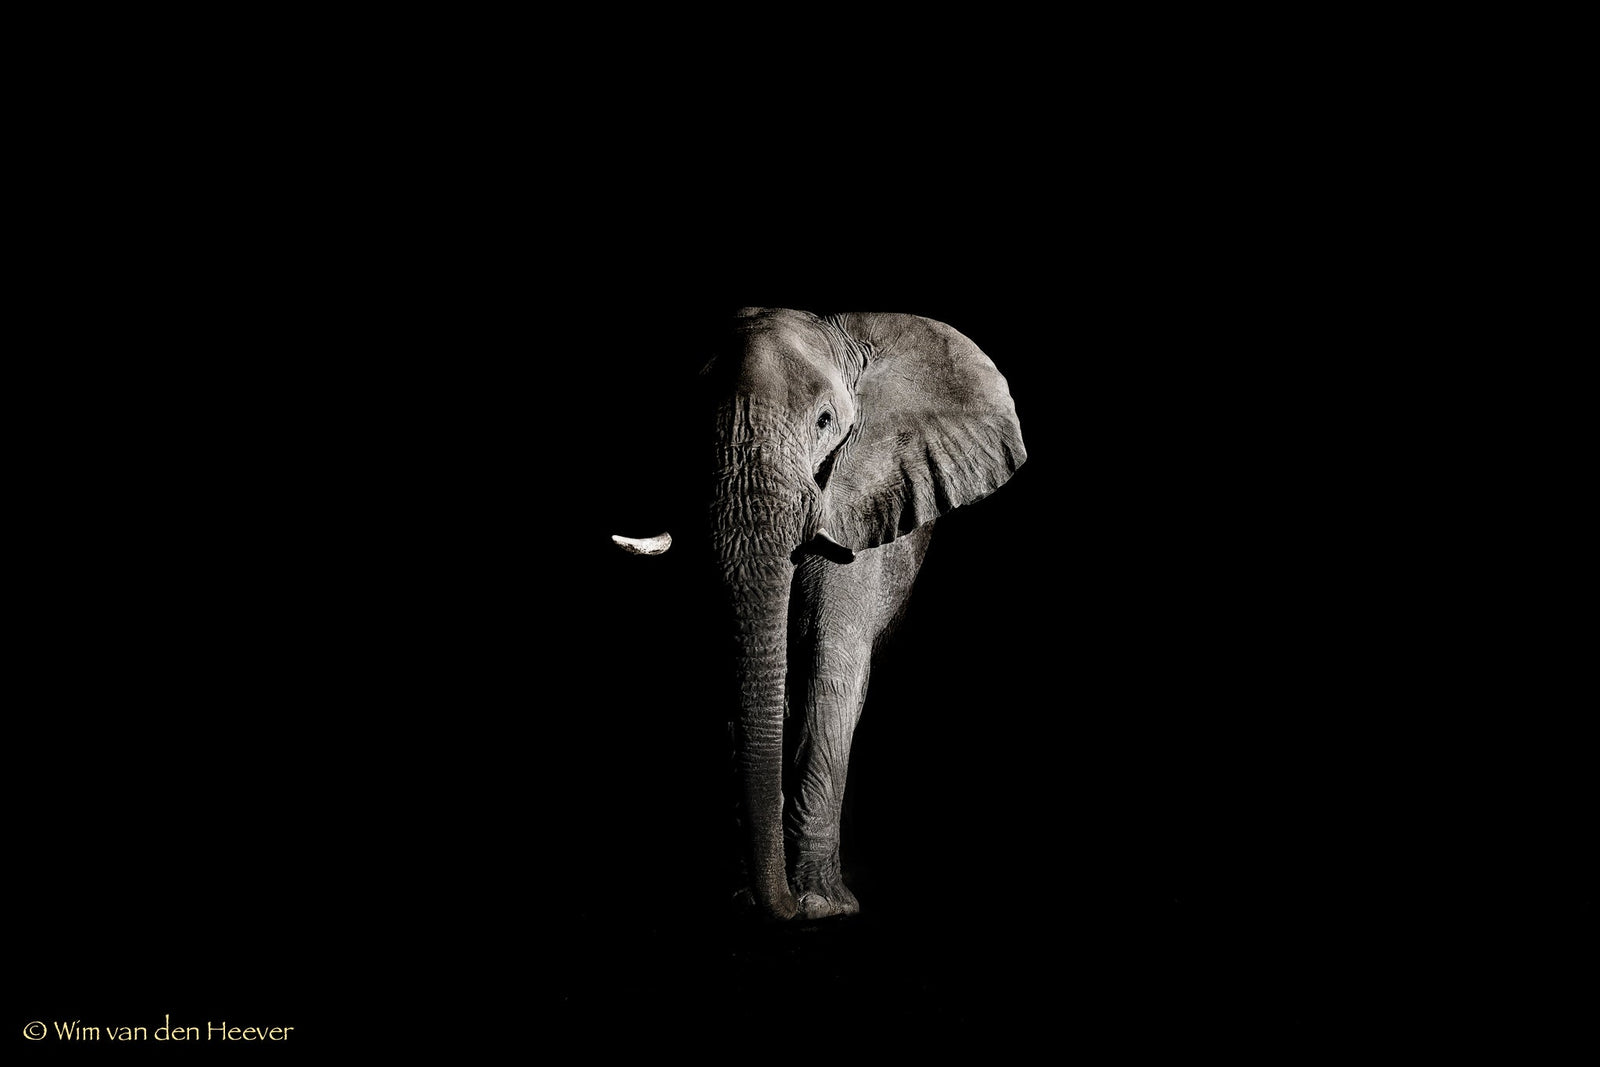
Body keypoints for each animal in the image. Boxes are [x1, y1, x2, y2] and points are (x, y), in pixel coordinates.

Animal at [612, 307, 1026, 921]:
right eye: (687, 422)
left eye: (826, 420)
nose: (778, 904)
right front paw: (751, 899)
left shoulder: (862, 501)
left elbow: (828, 666)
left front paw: (820, 907)